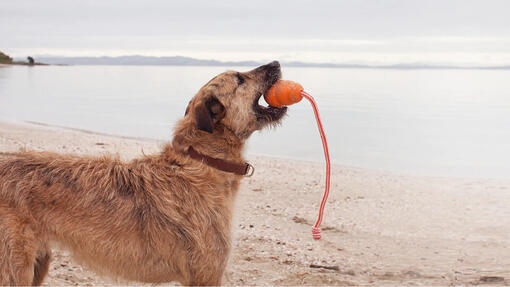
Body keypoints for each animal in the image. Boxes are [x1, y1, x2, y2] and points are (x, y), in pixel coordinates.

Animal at [0, 60, 284, 286]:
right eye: (240, 78)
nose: (276, 62)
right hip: (14, 267)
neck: (203, 161)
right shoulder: (206, 275)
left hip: (37, 263)